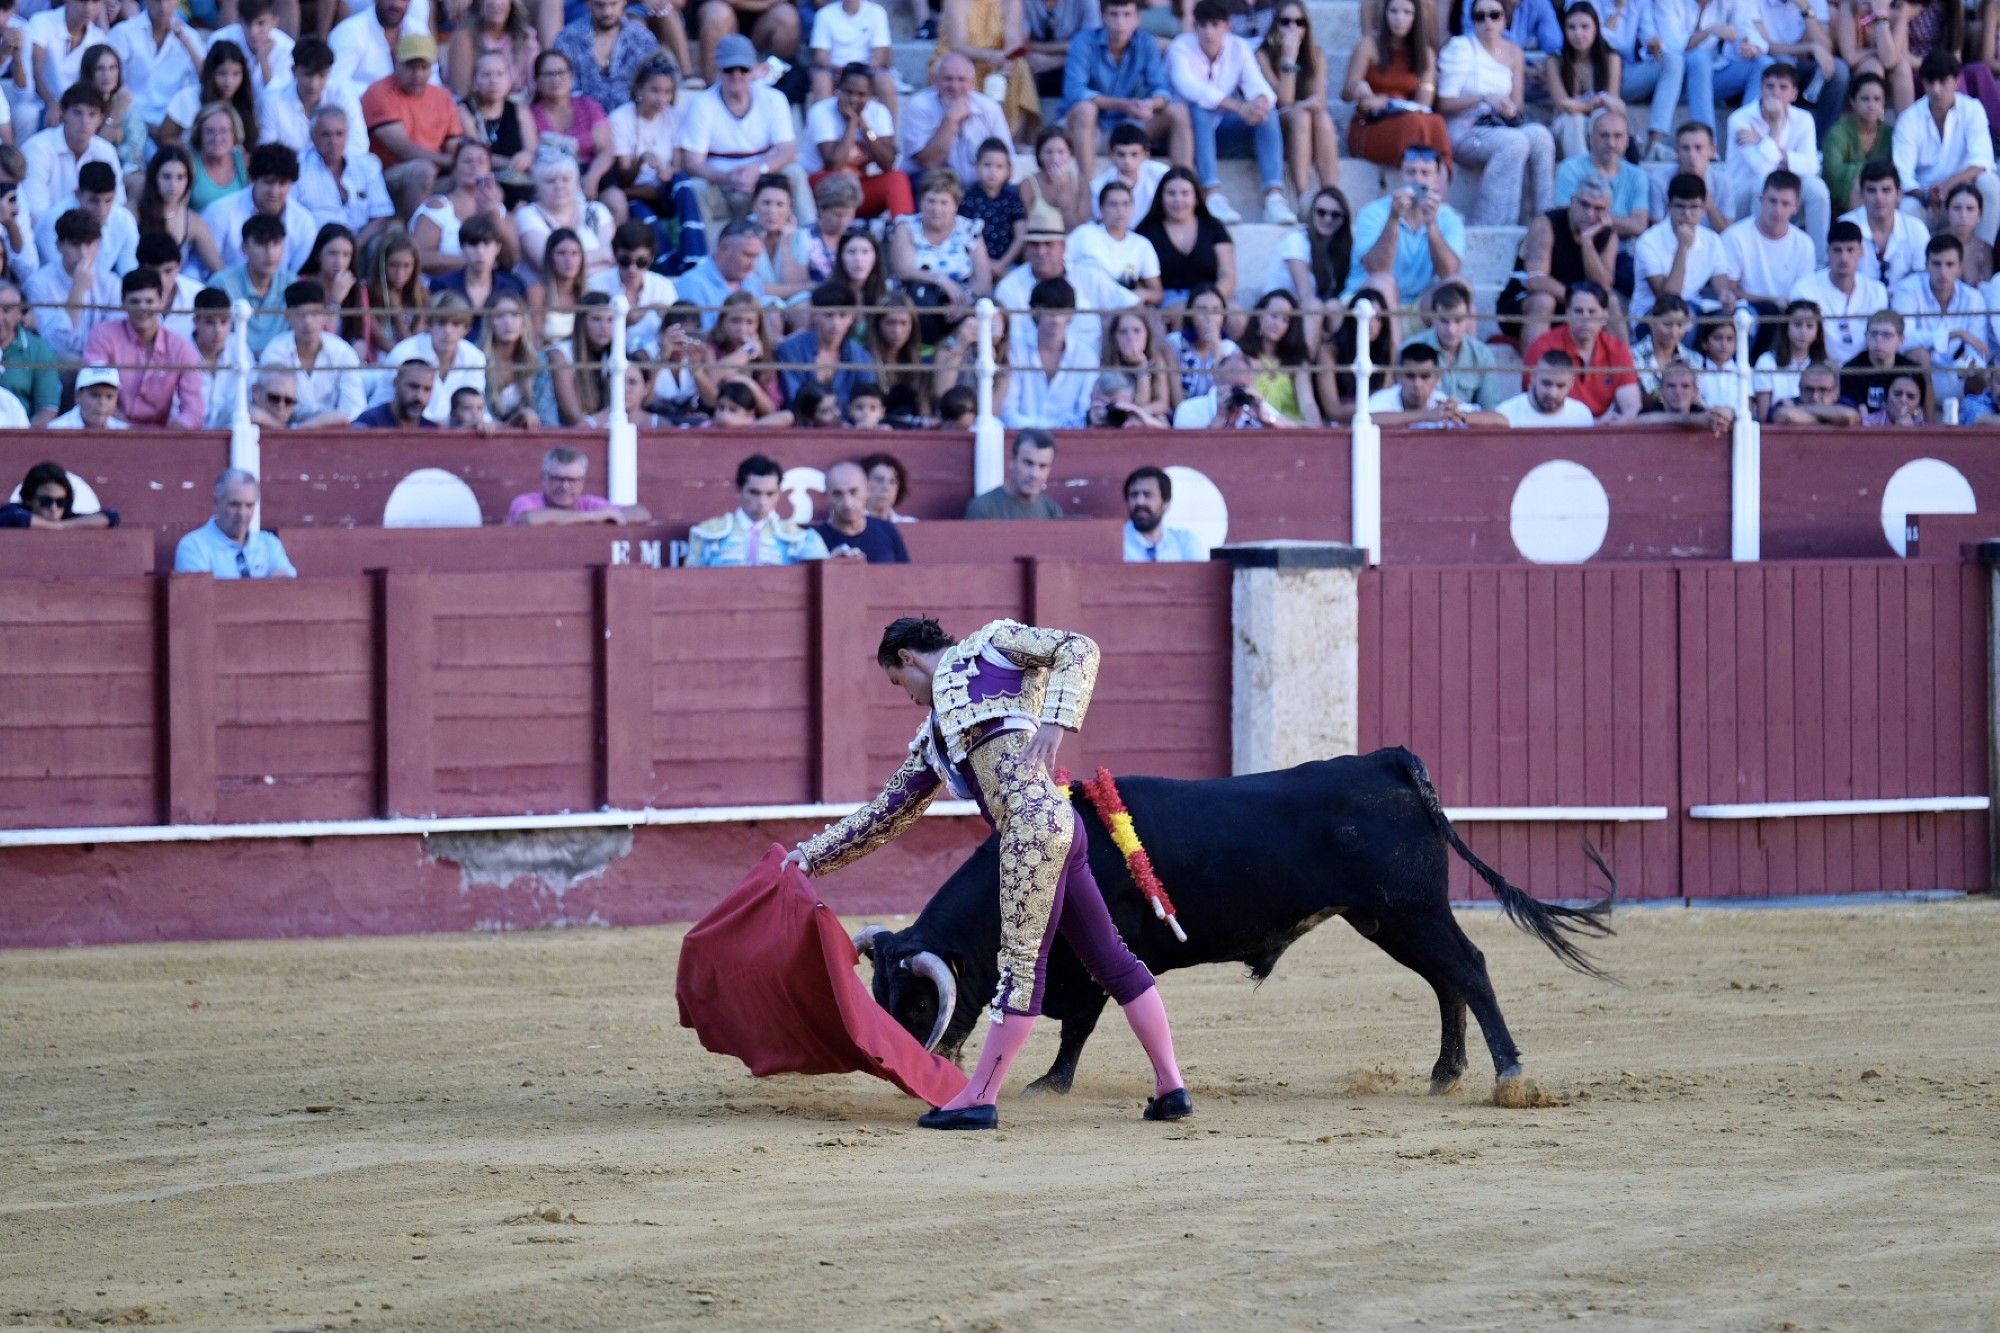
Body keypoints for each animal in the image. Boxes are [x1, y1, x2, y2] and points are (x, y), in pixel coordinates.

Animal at [852, 740, 1616, 1096]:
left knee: (1470, 970)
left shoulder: (1097, 954)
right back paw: (1445, 1072)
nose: (894, 1064)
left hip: (1412, 910)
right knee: (1445, 981)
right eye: (880, 996)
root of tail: (1386, 760)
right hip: (1390, 920)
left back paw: (1509, 1073)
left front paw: (1050, 1084)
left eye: (917, 1001)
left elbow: (1081, 1021)